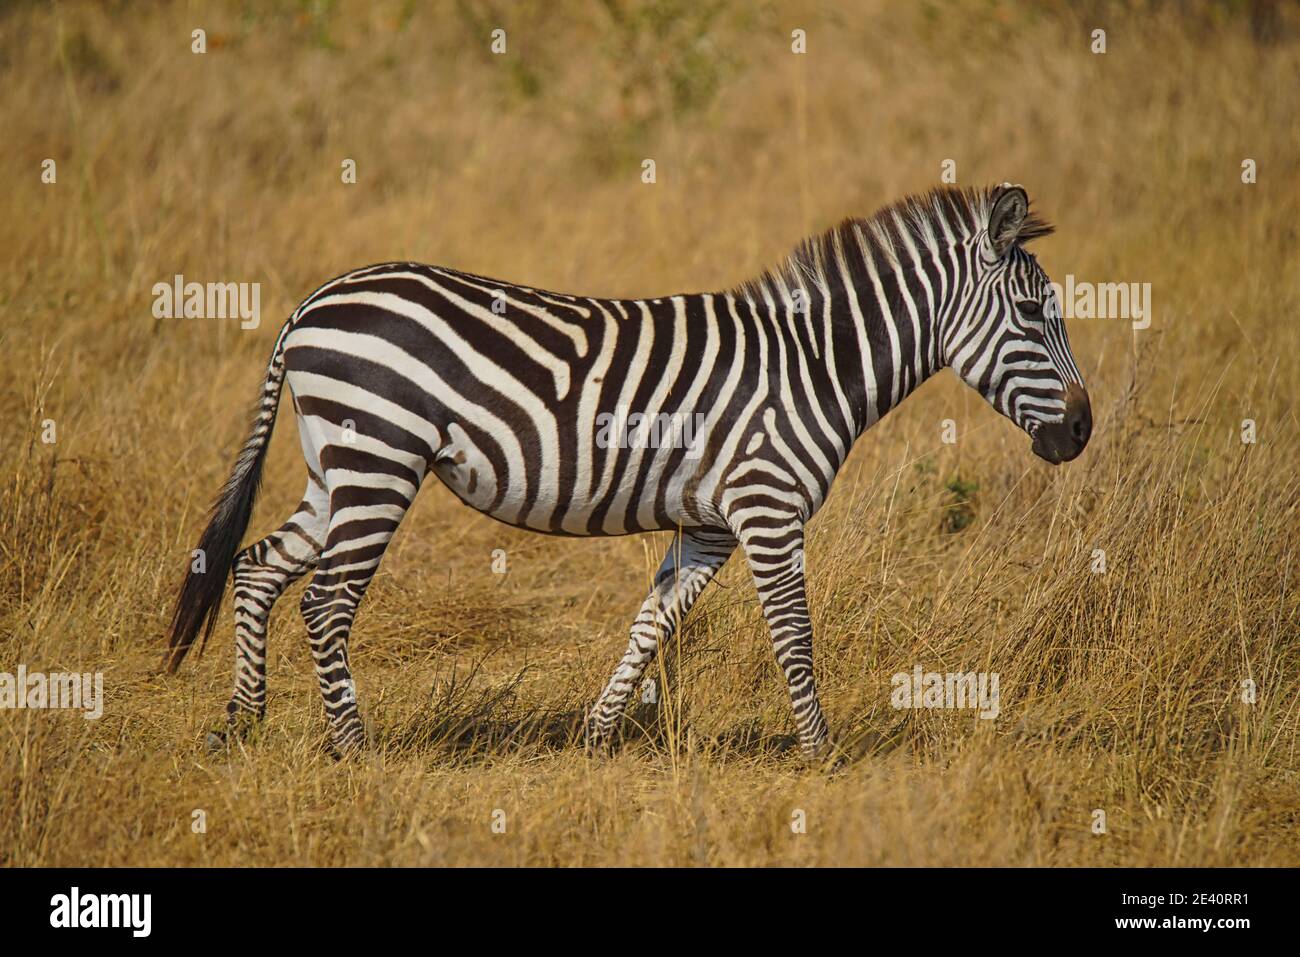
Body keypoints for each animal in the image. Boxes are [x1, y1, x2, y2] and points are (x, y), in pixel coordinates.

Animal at [165, 183, 1091, 759]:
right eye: (1032, 312)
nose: (1082, 431)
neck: (815, 363)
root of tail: (309, 305)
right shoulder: (766, 506)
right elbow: (793, 634)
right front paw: (822, 753)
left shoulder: (710, 525)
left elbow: (651, 626)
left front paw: (595, 737)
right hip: (380, 457)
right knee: (324, 602)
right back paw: (354, 750)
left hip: (340, 466)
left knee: (257, 568)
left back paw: (240, 722)